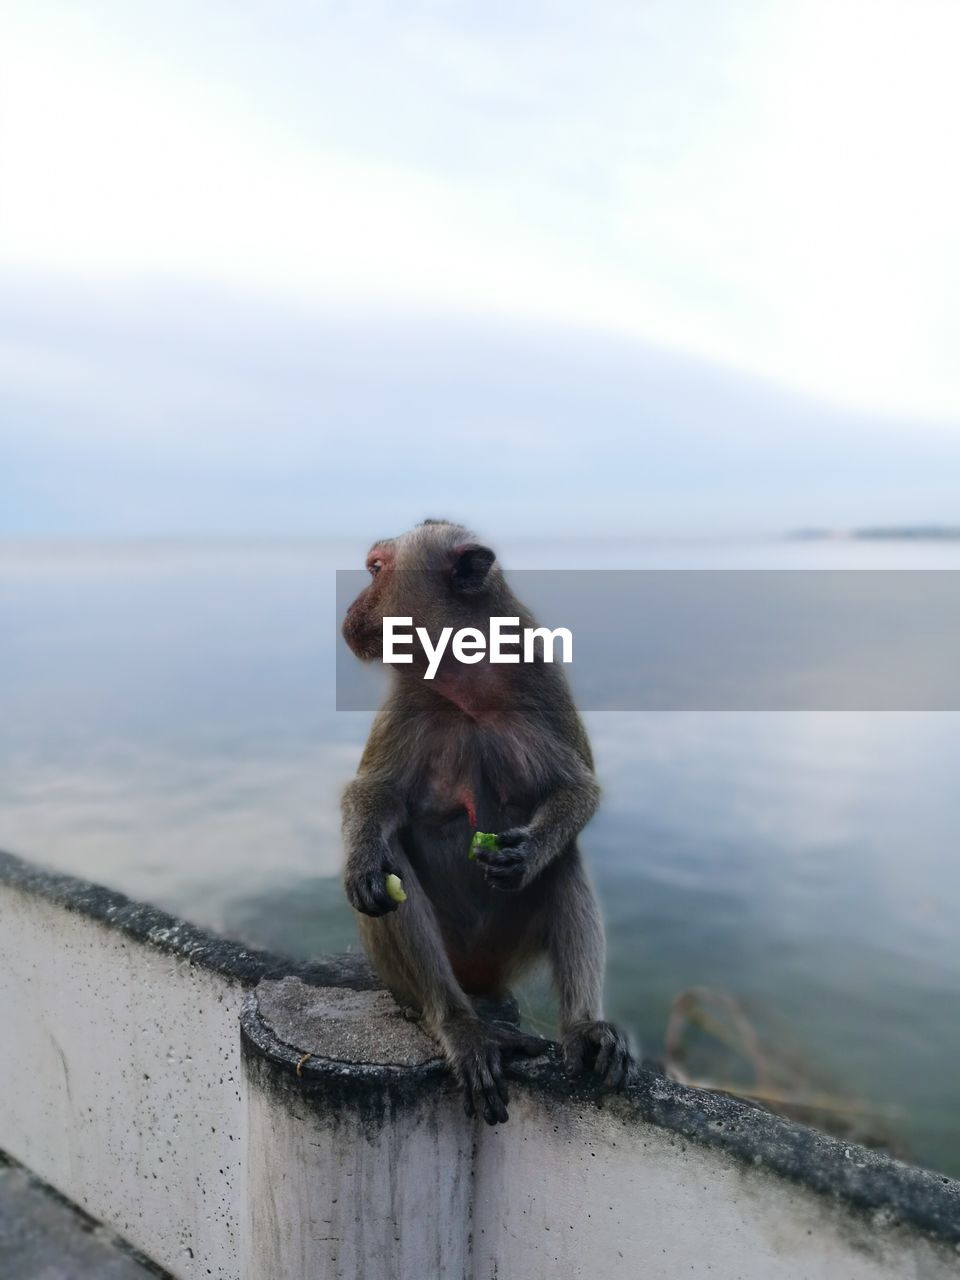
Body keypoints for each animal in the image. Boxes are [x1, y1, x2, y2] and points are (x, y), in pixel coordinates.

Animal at [343, 517, 634, 1121]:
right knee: (393, 862)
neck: (465, 680)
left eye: (376, 570)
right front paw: (362, 860)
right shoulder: (408, 697)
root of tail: (479, 981)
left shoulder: (541, 673)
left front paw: (529, 850)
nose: (352, 609)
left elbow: (578, 789)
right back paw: (459, 1024)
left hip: (506, 950)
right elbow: (374, 796)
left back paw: (584, 1029)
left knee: (564, 858)